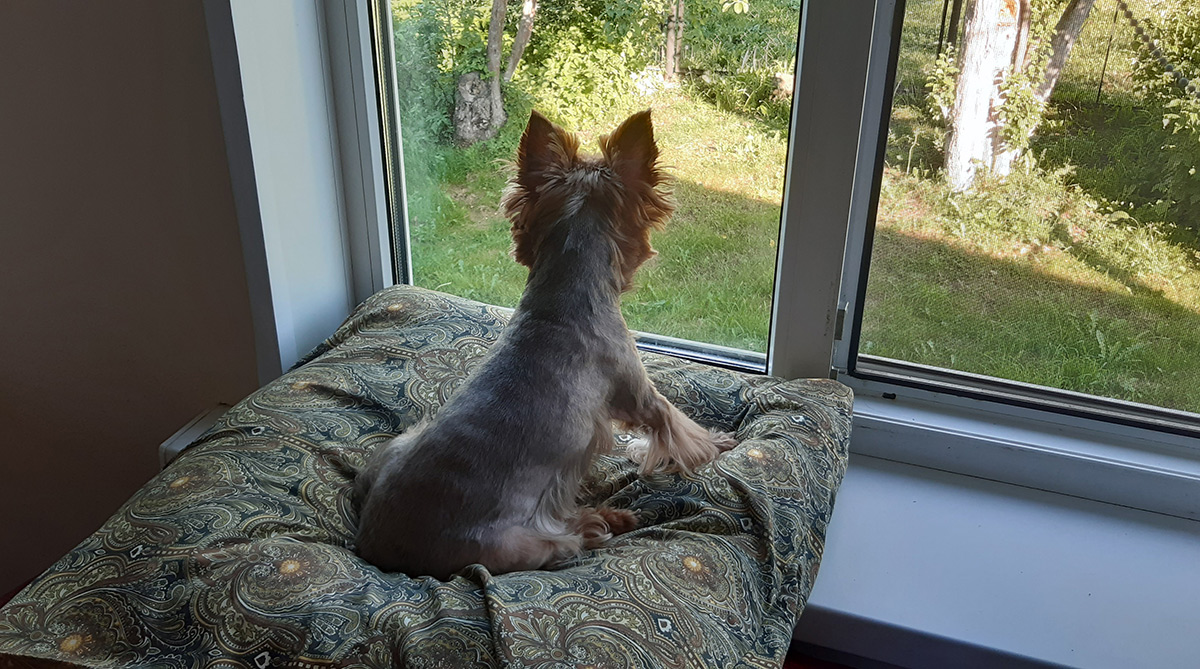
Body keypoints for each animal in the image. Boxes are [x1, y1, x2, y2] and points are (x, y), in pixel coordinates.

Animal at [350, 109, 737, 580]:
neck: (561, 296)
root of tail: (374, 550)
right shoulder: (639, 393)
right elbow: (679, 429)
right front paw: (720, 443)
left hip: (395, 445)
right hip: (519, 545)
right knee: (570, 535)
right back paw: (606, 519)